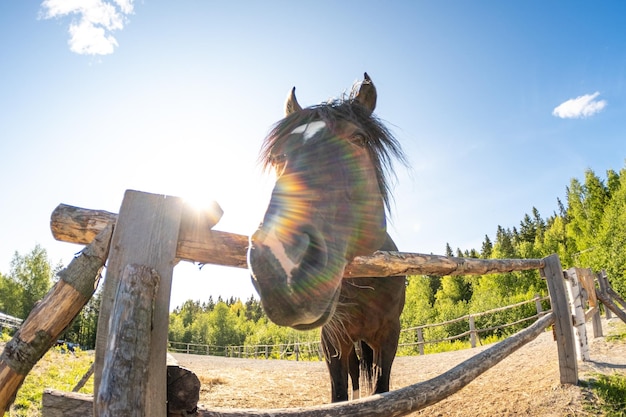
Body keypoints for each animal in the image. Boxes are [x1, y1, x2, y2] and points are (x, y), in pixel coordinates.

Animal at [246, 73, 408, 402]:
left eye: (359, 139)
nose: (281, 264)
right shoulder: (333, 340)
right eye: (277, 155)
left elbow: (381, 387)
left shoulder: (389, 336)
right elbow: (340, 395)